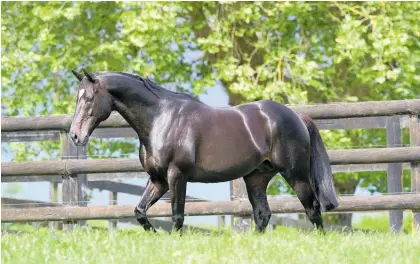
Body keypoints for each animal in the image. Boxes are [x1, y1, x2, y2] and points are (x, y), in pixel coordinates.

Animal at [69, 69, 338, 232]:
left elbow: (177, 215)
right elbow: (140, 212)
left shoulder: (177, 175)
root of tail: (297, 116)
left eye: (89, 98)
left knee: (312, 208)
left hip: (296, 175)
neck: (160, 119)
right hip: (257, 177)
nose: (75, 135)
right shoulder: (158, 180)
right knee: (263, 214)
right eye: (77, 98)